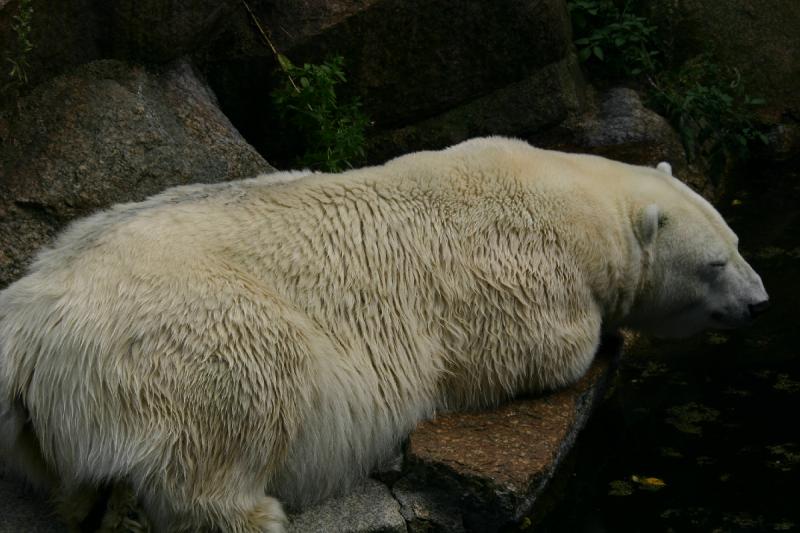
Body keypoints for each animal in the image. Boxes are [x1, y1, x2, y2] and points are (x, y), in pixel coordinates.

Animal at [0, 136, 768, 528]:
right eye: (715, 263)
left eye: (737, 239)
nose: (761, 302)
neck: (574, 194)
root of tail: (27, 321)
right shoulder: (511, 276)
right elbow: (544, 348)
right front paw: (606, 336)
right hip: (190, 337)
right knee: (231, 421)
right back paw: (256, 513)